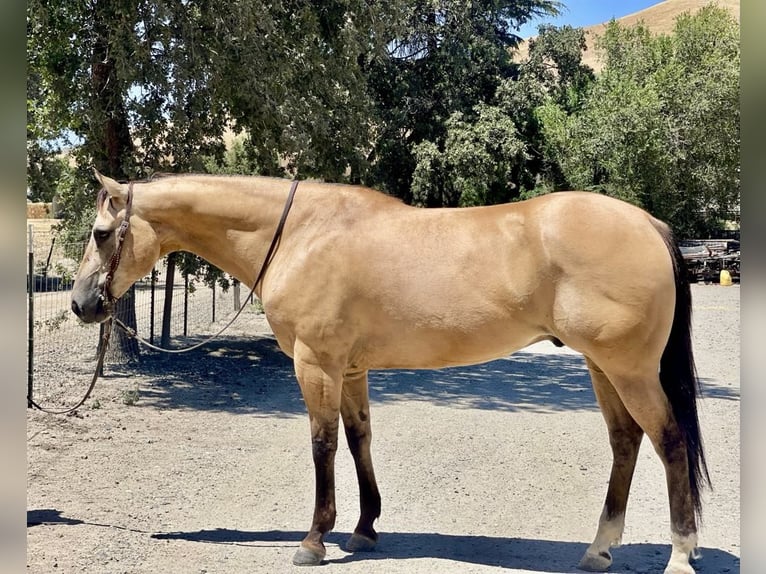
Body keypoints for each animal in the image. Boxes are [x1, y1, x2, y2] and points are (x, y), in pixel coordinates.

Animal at [71, 170, 709, 574]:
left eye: (101, 234)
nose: (81, 305)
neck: (300, 234)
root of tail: (649, 224)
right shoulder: (351, 370)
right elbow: (359, 440)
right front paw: (364, 529)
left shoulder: (316, 364)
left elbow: (323, 444)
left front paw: (314, 539)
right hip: (603, 367)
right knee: (626, 442)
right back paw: (599, 550)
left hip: (629, 369)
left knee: (669, 440)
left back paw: (680, 554)